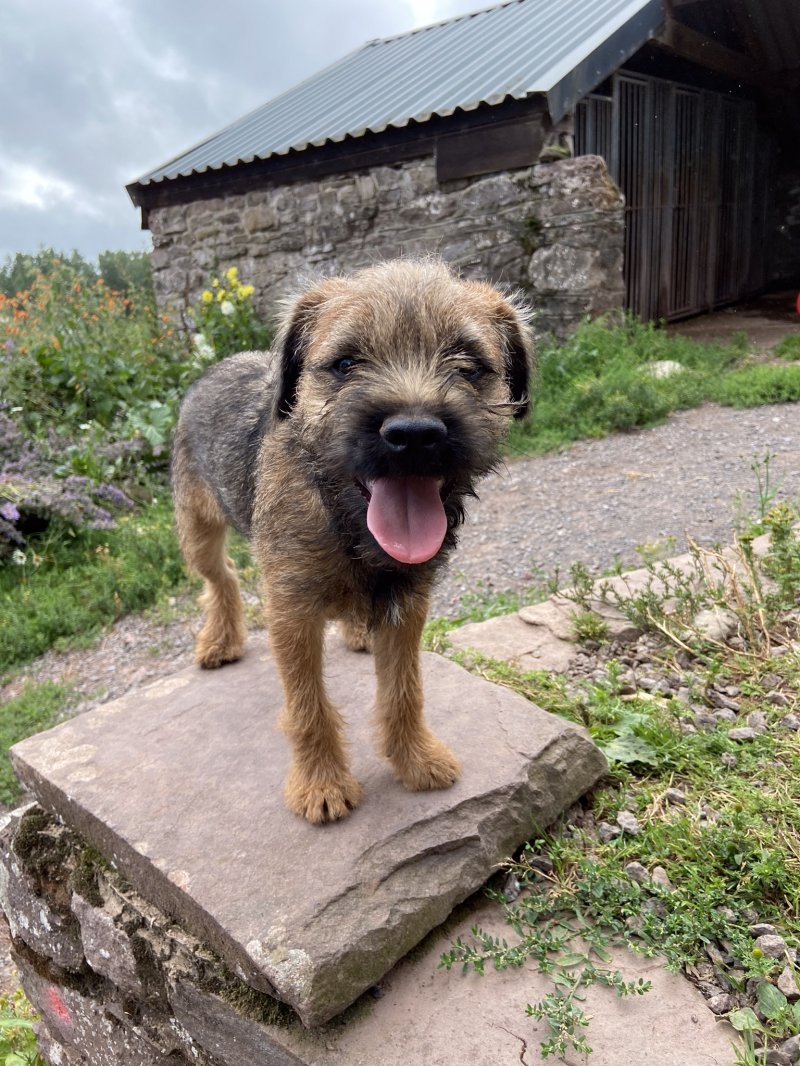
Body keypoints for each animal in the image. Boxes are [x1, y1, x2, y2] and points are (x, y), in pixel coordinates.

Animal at [171, 257, 533, 822]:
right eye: (345, 363)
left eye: (470, 366)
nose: (414, 434)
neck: (342, 518)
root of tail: (215, 366)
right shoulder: (291, 609)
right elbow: (307, 706)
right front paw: (321, 784)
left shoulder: (410, 601)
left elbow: (405, 688)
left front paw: (416, 759)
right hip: (197, 528)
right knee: (221, 576)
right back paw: (221, 639)